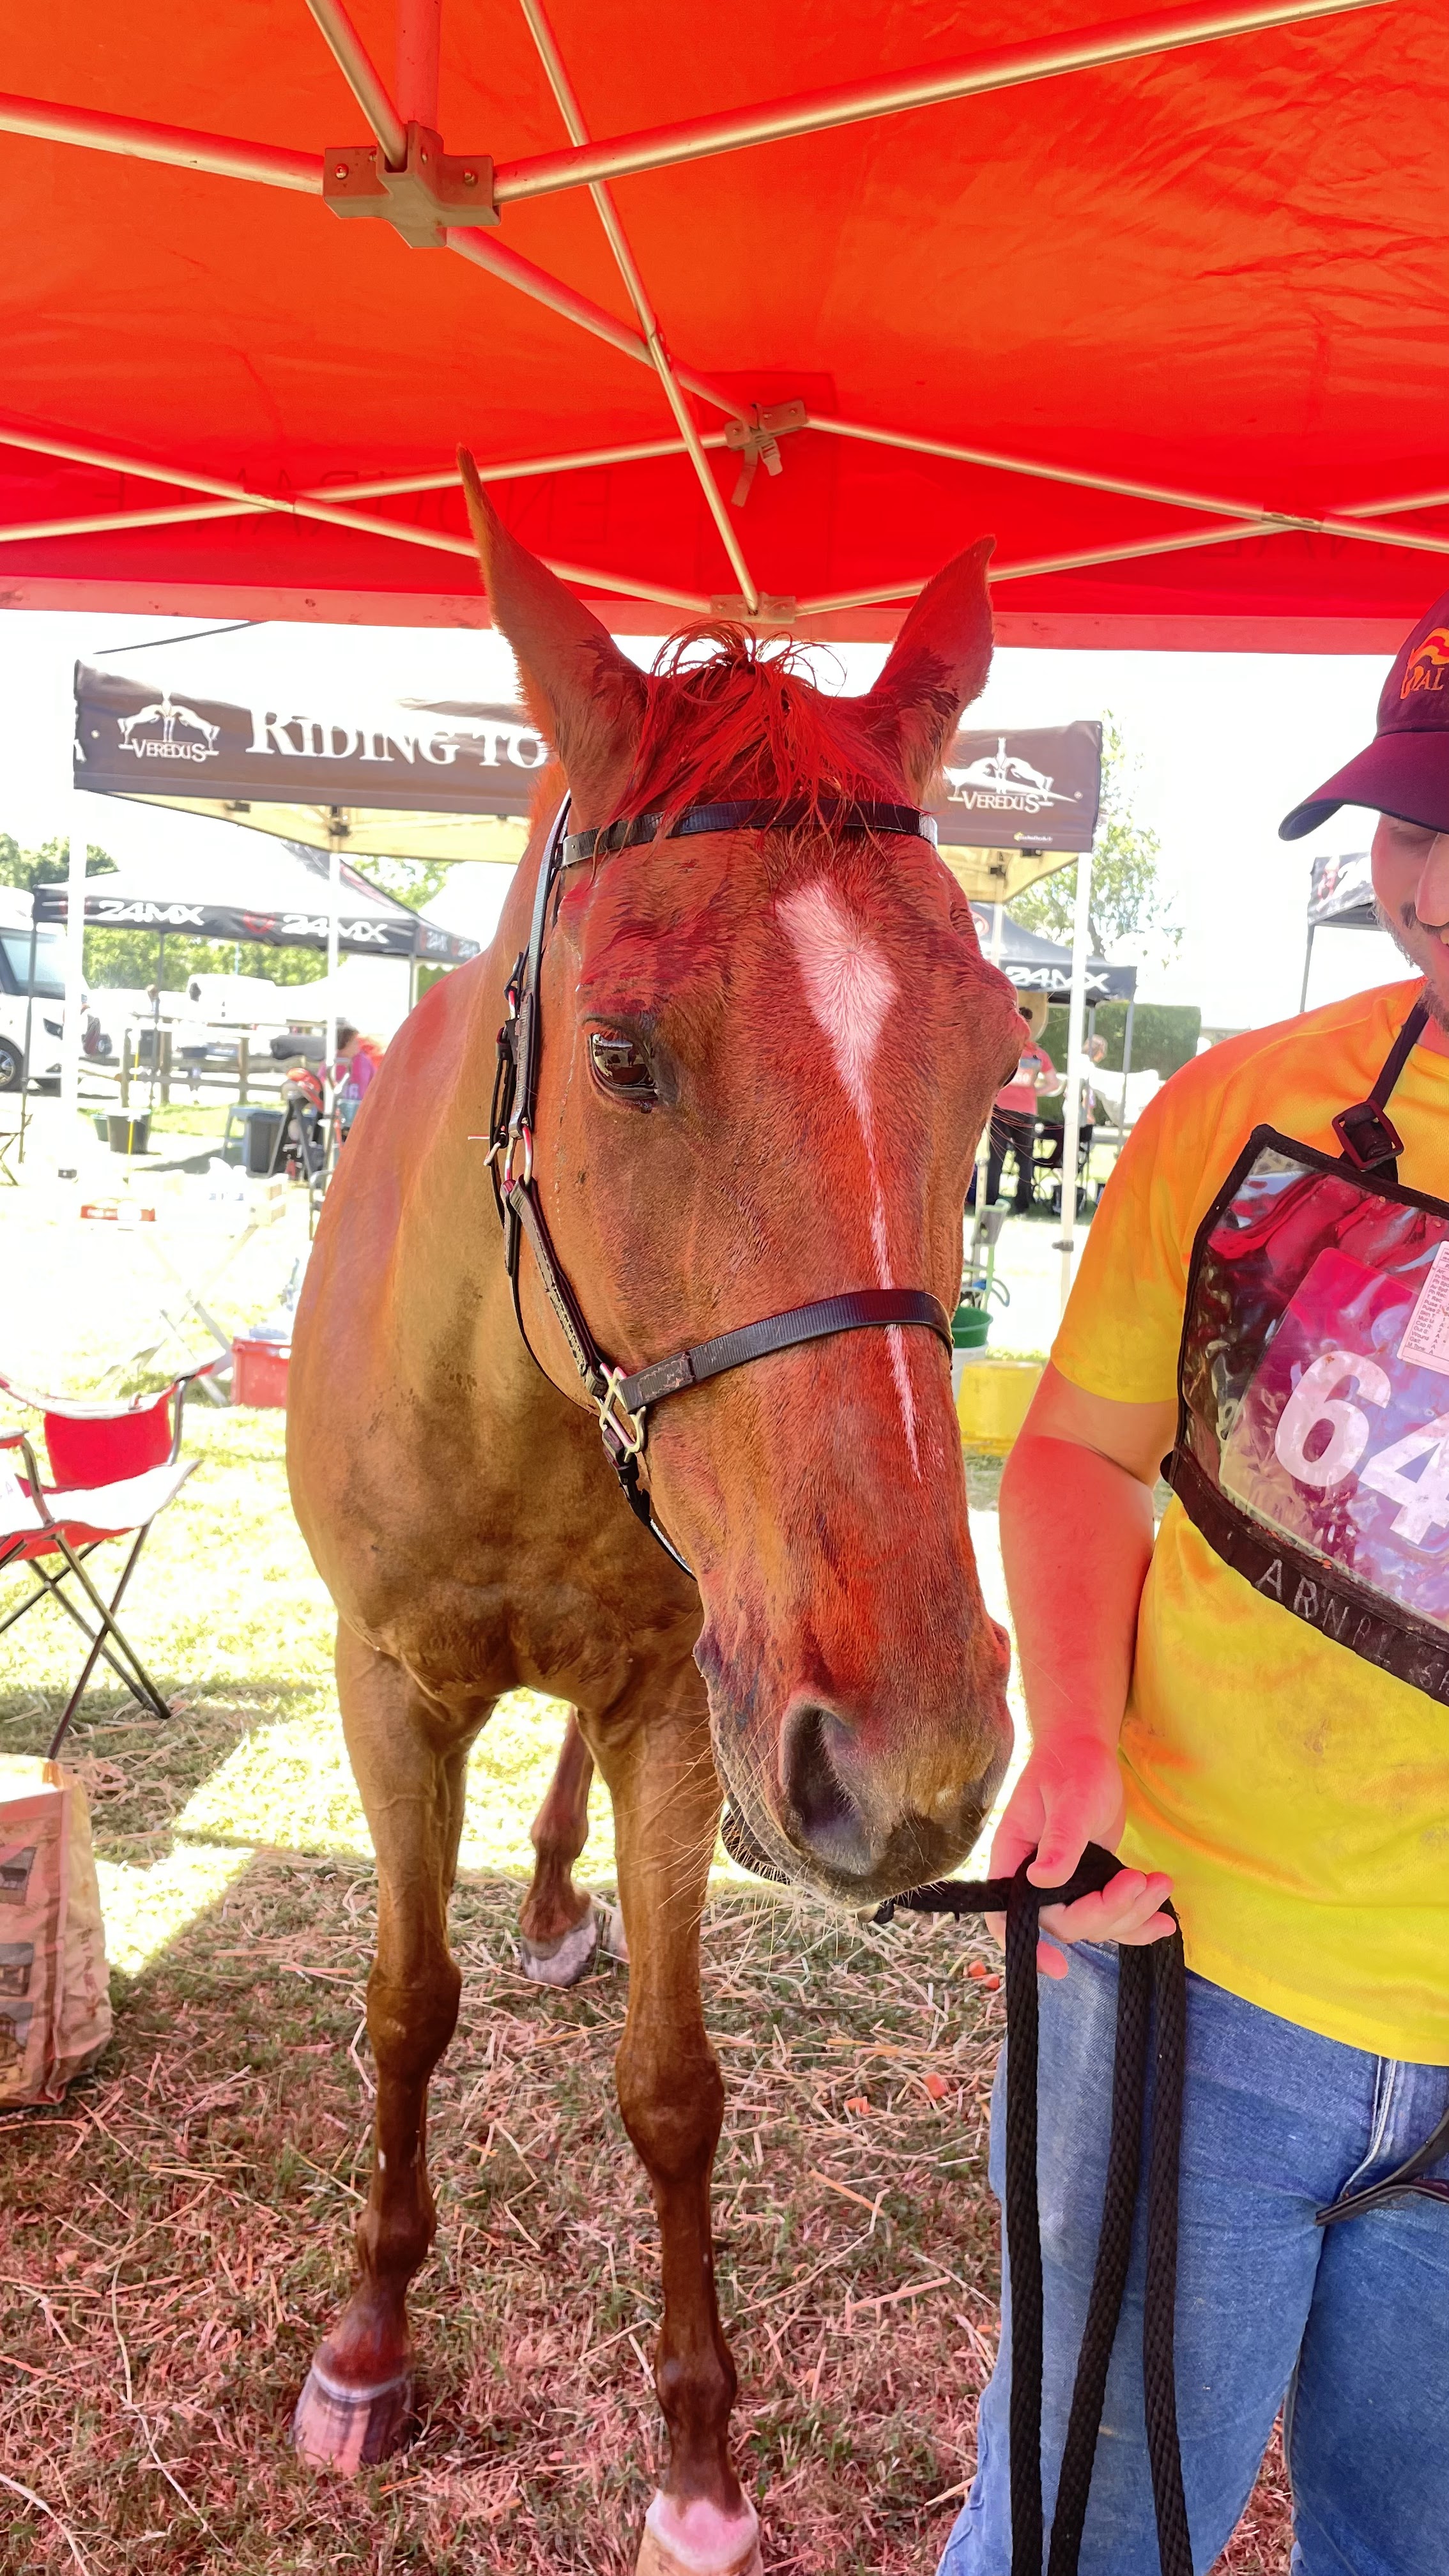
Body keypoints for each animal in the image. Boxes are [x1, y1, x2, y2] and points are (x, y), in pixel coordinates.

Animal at [284, 455, 1023, 2576]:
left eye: (1004, 1056)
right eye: (620, 1054)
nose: (917, 1768)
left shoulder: (699, 1714)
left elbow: (674, 2087)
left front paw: (698, 2446)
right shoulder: (386, 1688)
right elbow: (403, 2008)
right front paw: (368, 2343)